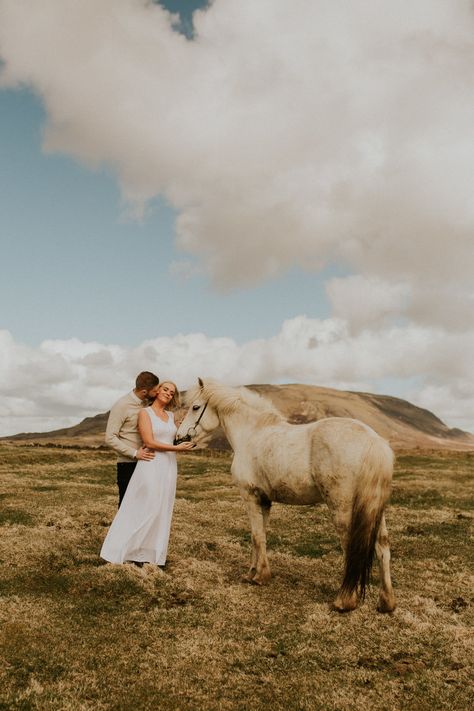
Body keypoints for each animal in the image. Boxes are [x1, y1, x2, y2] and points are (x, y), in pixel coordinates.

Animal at [177, 378, 396, 612]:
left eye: (195, 407)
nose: (179, 437)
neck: (251, 433)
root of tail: (373, 441)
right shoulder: (264, 501)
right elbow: (259, 536)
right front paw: (254, 572)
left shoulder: (250, 497)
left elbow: (256, 536)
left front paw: (260, 576)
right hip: (375, 509)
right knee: (382, 546)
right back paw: (386, 602)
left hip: (342, 508)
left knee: (350, 546)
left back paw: (344, 601)